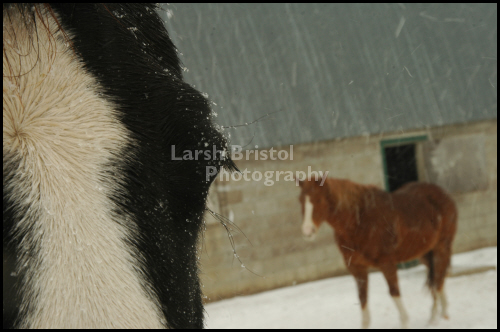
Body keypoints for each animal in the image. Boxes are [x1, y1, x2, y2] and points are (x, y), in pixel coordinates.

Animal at [296, 178, 458, 328]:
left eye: (319, 199)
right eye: (301, 200)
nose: (307, 231)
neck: (359, 221)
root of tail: (443, 194)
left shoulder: (387, 264)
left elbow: (394, 292)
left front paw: (405, 322)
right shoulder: (357, 269)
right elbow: (363, 300)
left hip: (441, 248)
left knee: (438, 280)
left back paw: (437, 317)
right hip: (424, 253)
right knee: (436, 279)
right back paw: (440, 314)